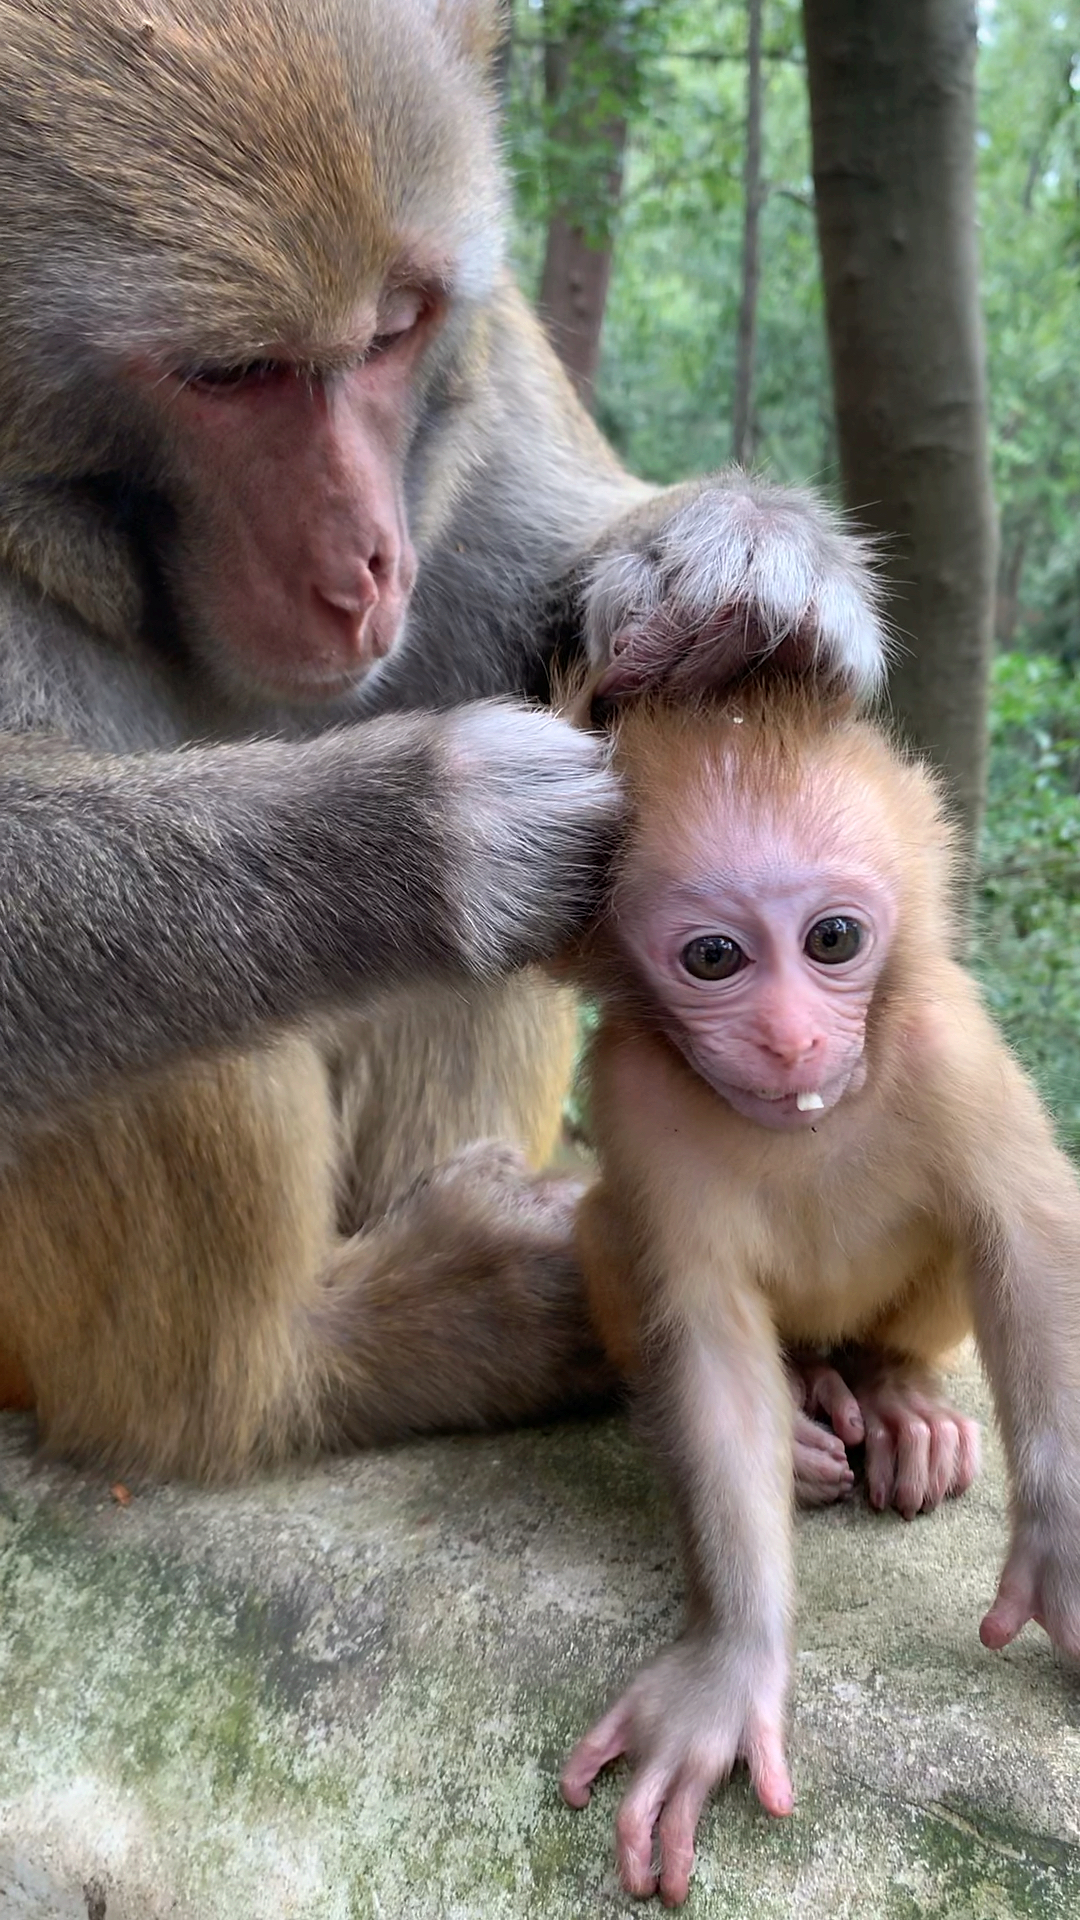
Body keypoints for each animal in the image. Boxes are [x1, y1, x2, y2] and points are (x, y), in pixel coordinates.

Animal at [0, 0, 880, 1474]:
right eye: (232, 375)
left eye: (394, 331)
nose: (367, 562)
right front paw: (428, 833)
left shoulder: (495, 363)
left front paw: (745, 570)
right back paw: (304, 1364)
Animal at [557, 675, 1076, 1904]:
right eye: (713, 958)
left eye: (832, 939)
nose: (791, 1039)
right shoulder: (629, 1084)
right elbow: (703, 1338)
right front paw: (732, 1666)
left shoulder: (950, 1039)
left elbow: (1025, 1241)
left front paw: (1068, 1546)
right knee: (611, 1233)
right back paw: (808, 1416)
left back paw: (888, 1398)